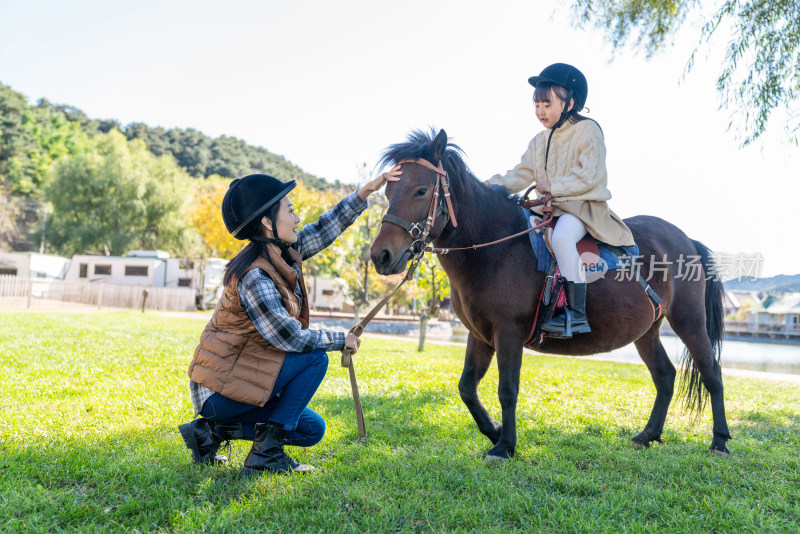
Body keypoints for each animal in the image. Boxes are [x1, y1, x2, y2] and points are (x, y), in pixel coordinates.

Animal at [372, 129, 728, 460]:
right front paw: (495, 432)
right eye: (388, 190)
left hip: (688, 320)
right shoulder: (480, 334)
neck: (495, 247)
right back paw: (648, 435)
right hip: (648, 330)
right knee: (665, 376)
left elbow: (507, 389)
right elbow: (467, 388)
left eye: (421, 190)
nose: (380, 256)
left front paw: (504, 445)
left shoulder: (508, 332)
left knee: (711, 373)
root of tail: (685, 239)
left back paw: (720, 442)